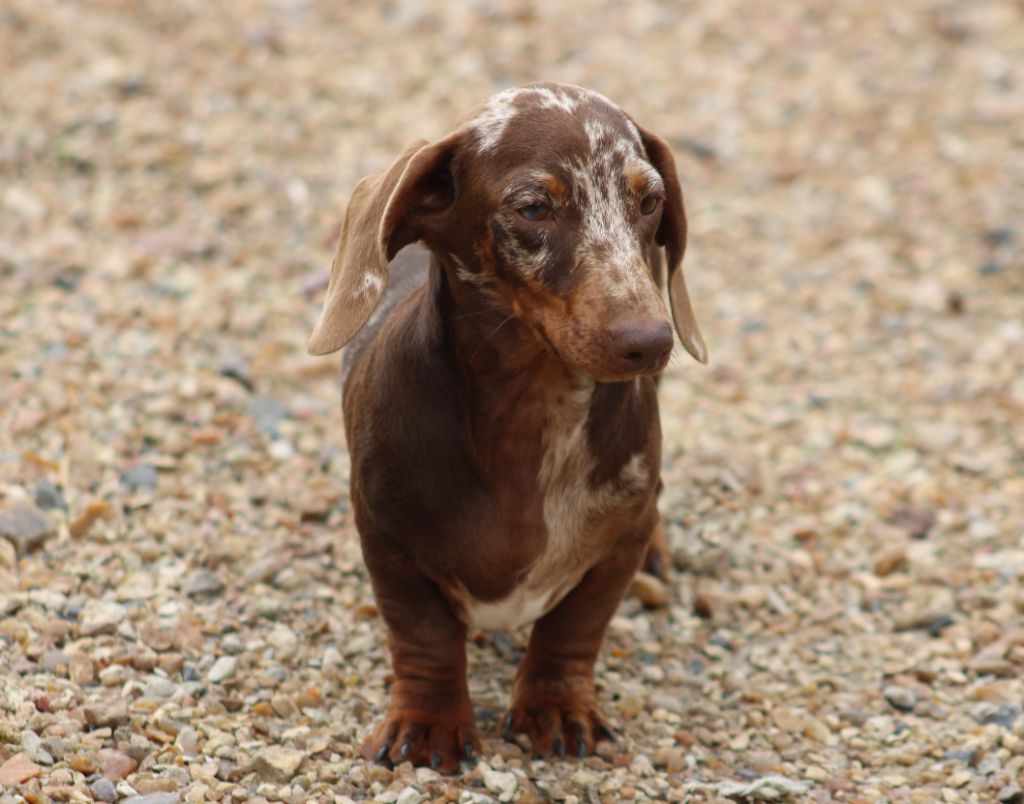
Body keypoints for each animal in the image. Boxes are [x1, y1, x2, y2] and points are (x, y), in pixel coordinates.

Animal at [309, 81, 704, 770]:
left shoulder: (614, 554)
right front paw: (429, 724)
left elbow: (573, 630)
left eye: (650, 200)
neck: (535, 412)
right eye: (533, 207)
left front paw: (555, 708)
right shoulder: (386, 541)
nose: (650, 342)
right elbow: (424, 634)